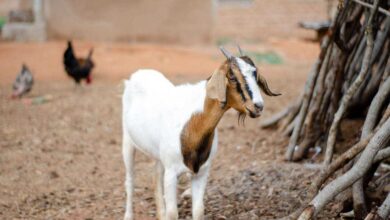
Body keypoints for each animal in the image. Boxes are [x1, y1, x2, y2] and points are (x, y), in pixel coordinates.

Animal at [122, 46, 280, 220]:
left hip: (159, 154)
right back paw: (128, 215)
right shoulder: (171, 173)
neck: (191, 124)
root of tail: (138, 74)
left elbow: (198, 210)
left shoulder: (201, 173)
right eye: (232, 76)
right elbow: (173, 213)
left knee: (156, 175)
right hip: (127, 141)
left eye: (255, 73)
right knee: (130, 180)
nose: (258, 106)